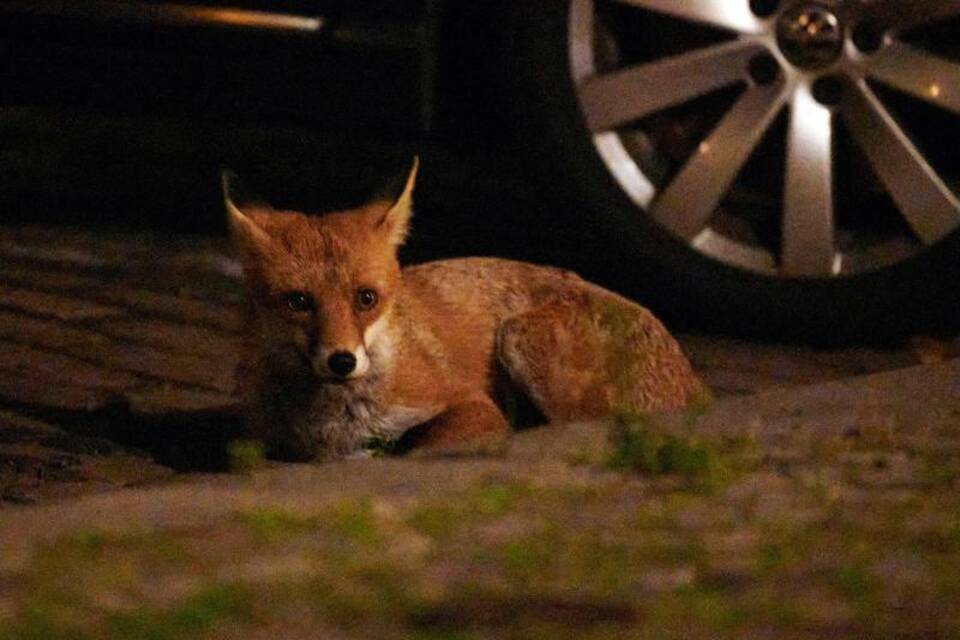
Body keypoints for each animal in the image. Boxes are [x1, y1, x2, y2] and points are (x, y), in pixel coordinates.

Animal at [225, 158, 704, 462]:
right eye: (299, 301)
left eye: (366, 298)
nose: (342, 360)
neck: (331, 423)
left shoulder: (473, 406)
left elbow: (415, 447)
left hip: (522, 340)